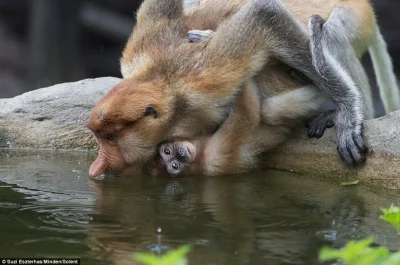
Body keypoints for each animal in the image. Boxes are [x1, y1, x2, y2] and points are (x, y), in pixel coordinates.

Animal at [85, 0, 396, 177]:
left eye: (111, 138)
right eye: (100, 137)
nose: (98, 163)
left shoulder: (204, 83)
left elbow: (264, 14)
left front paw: (348, 110)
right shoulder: (138, 53)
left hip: (352, 17)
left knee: (330, 33)